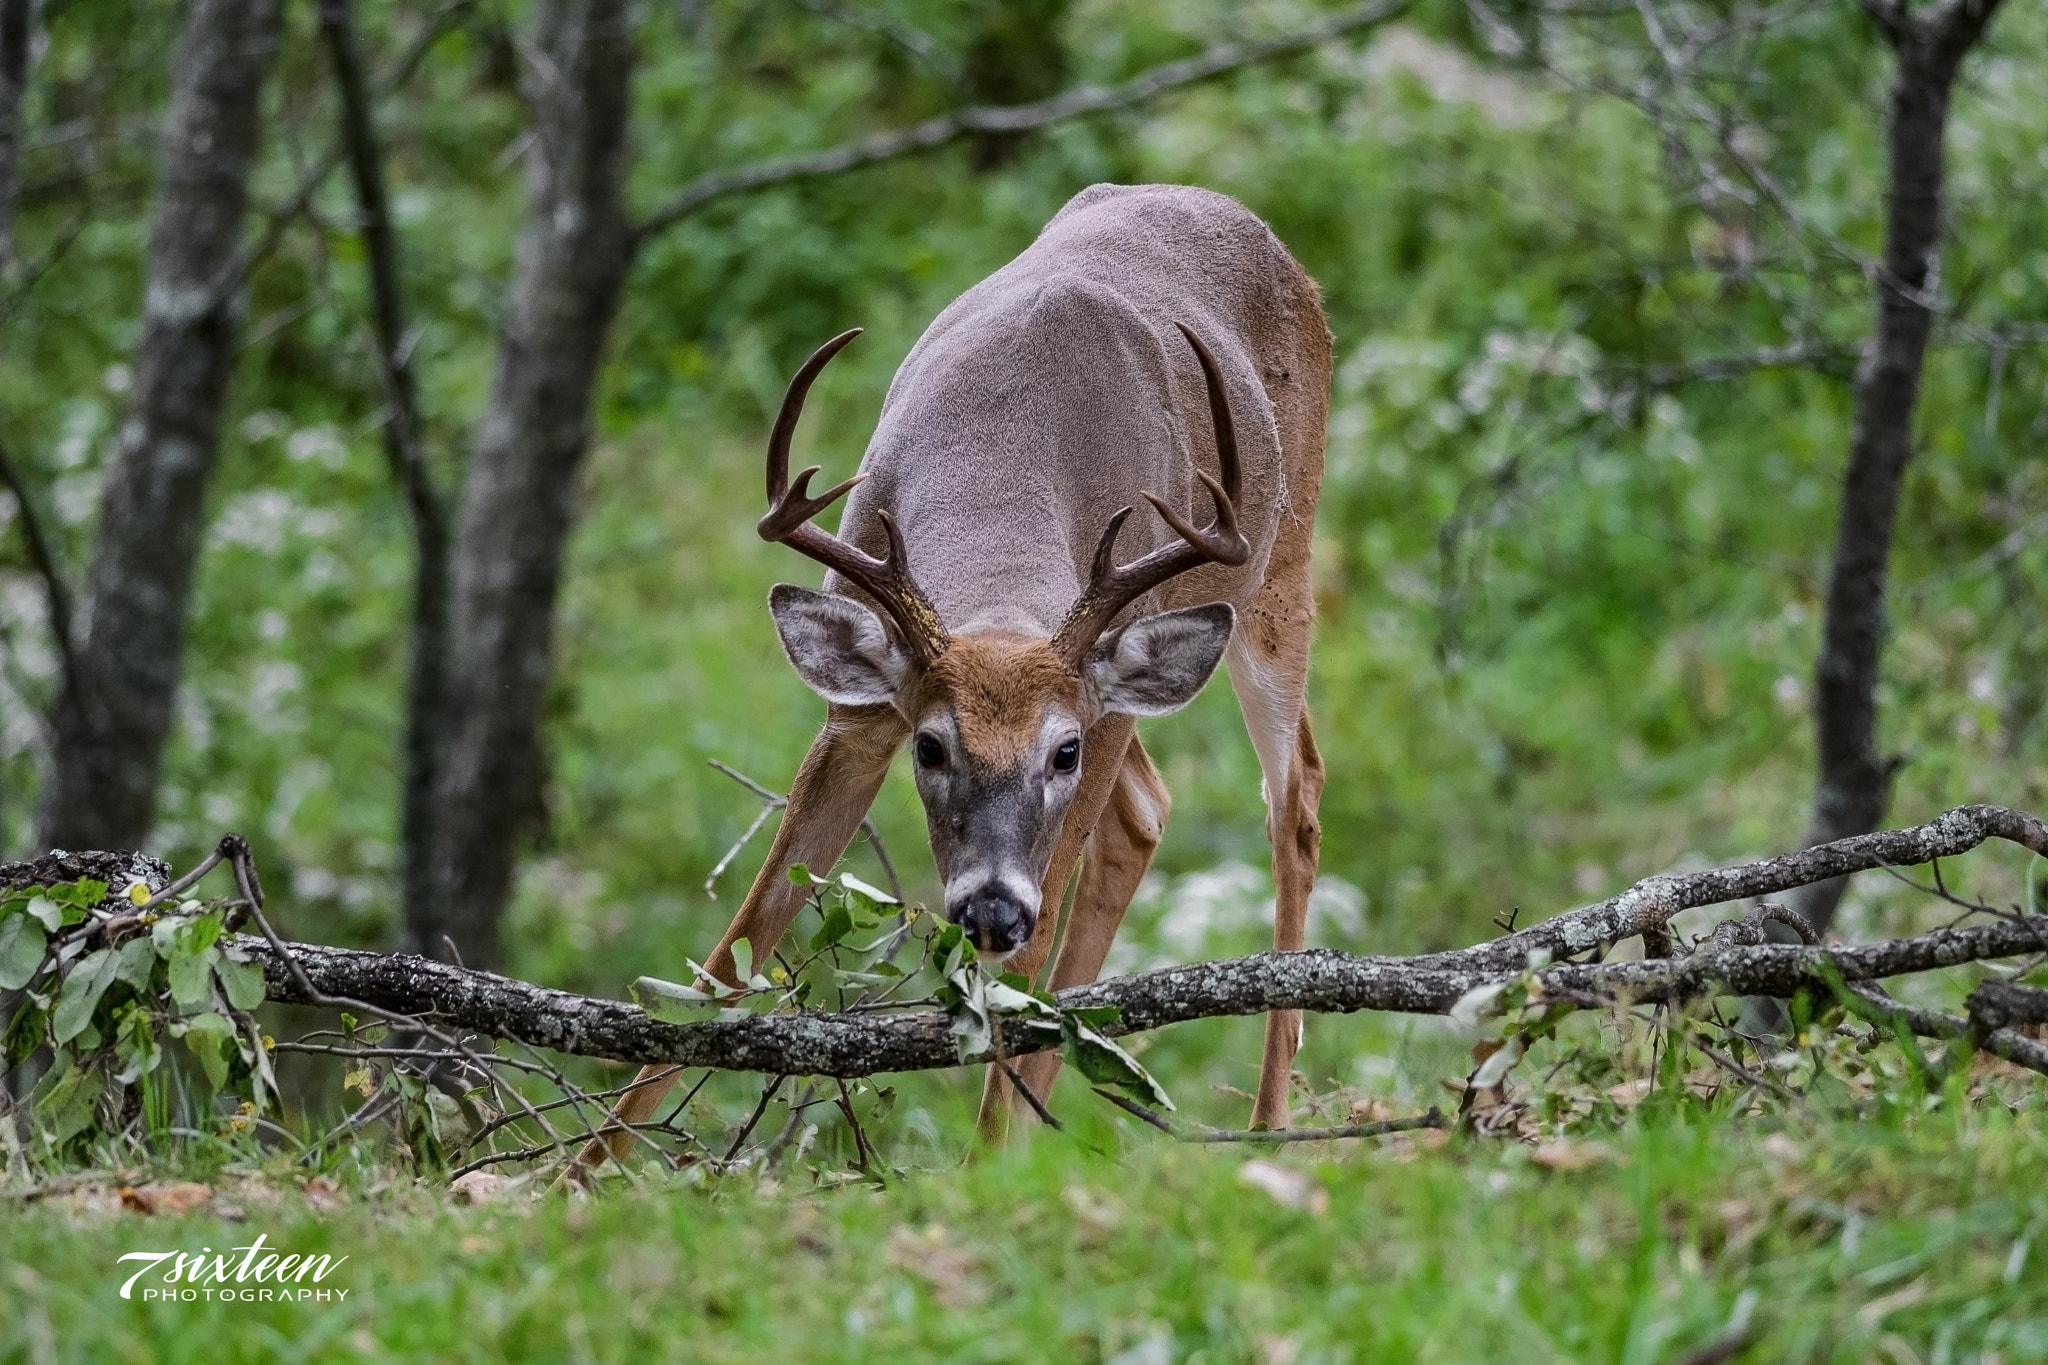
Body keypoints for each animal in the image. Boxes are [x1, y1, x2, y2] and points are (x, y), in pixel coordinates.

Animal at [585, 179, 1335, 1162]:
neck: (1006, 453)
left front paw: (985, 1164)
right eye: (931, 748)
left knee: (1296, 796)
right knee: (1148, 811)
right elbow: (739, 943)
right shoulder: (862, 707)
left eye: (1061, 751)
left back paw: (1268, 1124)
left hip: (1280, 570)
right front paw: (581, 1171)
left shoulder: (1102, 709)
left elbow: (1030, 956)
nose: (989, 912)